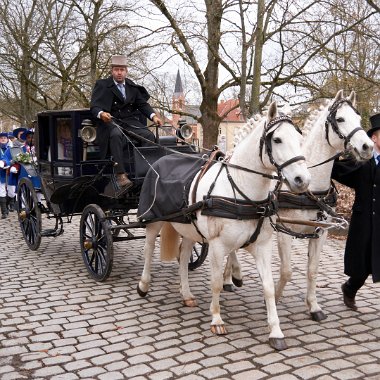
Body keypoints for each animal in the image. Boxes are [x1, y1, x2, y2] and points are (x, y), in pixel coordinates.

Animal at [137, 101, 312, 350]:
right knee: (149, 249)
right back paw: (143, 285)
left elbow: (268, 286)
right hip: (154, 220)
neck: (241, 189)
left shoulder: (262, 246)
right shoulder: (218, 247)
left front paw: (276, 331)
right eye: (277, 140)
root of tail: (160, 160)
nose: (302, 180)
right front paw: (217, 319)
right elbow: (217, 283)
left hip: (188, 228)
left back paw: (186, 293)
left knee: (183, 256)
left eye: (299, 138)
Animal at [224, 90, 372, 320]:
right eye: (340, 119)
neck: (310, 189)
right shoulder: (285, 231)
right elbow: (286, 271)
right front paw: (274, 298)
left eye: (358, 118)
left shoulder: (321, 232)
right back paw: (232, 277)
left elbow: (312, 270)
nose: (368, 147)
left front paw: (314, 306)